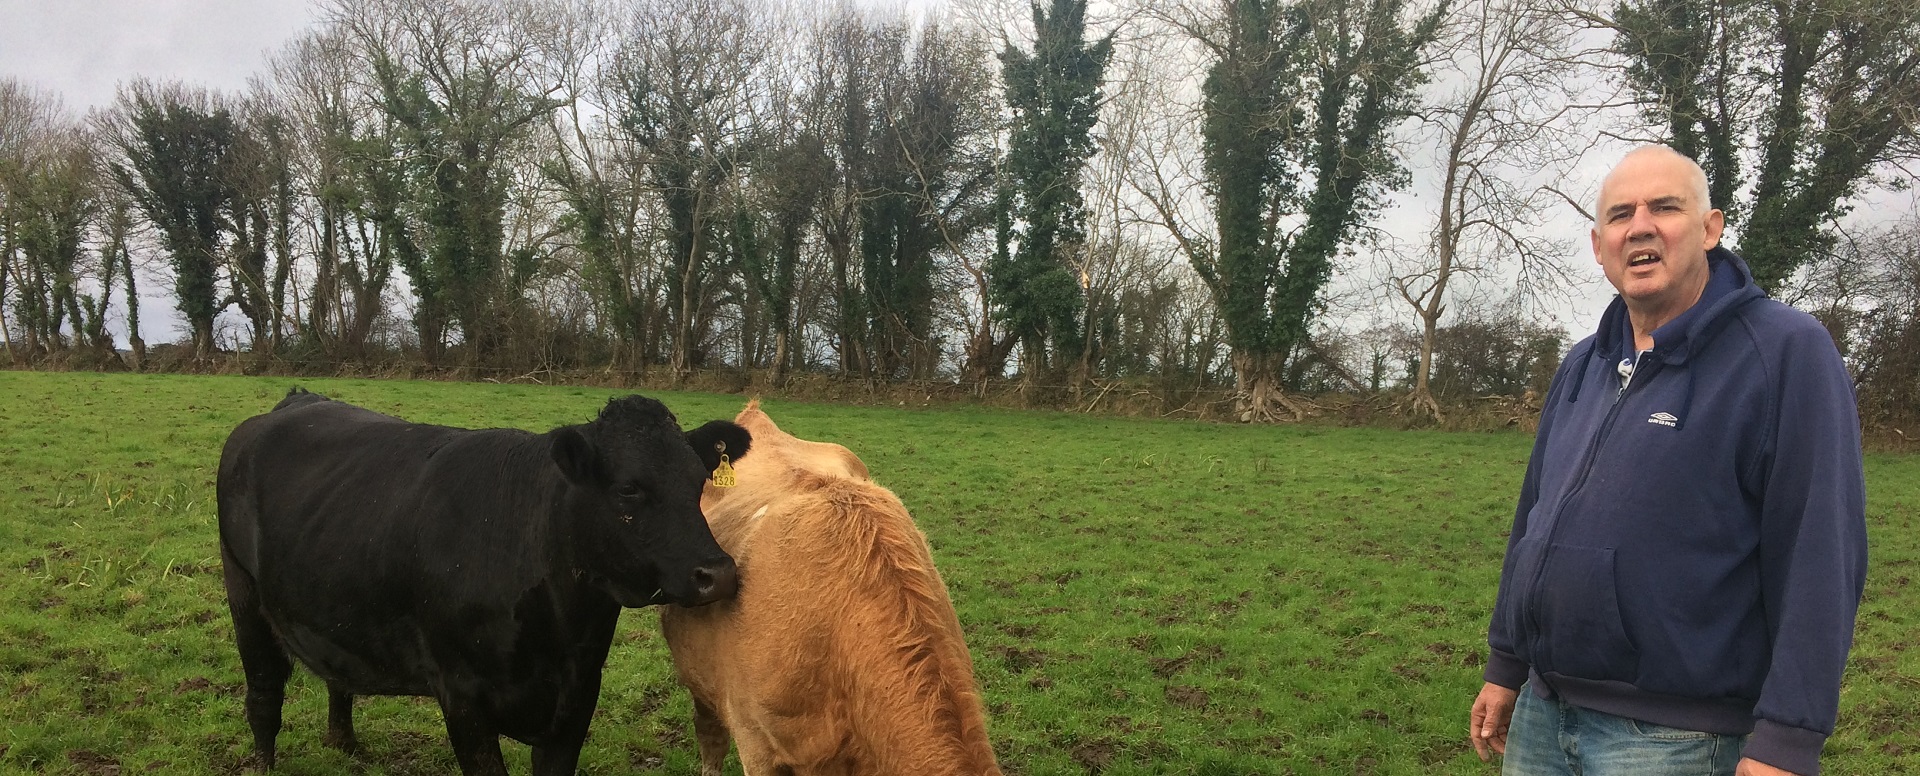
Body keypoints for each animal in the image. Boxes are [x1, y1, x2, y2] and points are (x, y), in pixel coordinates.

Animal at [214, 391, 744, 772]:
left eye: (699, 481)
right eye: (628, 489)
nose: (717, 574)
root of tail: (297, 400)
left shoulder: (578, 695)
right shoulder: (462, 695)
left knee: (336, 679)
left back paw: (344, 744)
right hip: (243, 595)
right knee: (264, 694)